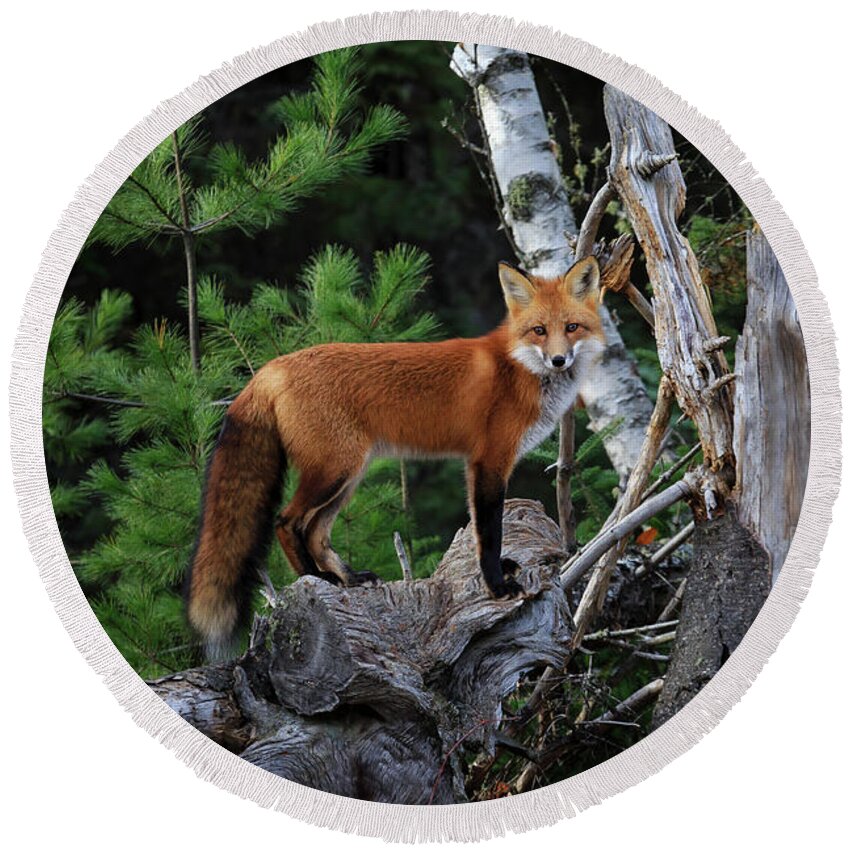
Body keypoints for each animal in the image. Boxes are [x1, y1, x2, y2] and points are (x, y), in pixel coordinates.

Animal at [186, 256, 604, 656]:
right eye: (539, 331)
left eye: (571, 328)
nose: (558, 360)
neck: (517, 368)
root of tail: (270, 368)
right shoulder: (489, 461)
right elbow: (489, 531)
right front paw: (496, 585)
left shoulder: (478, 464)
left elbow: (479, 529)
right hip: (333, 472)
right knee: (286, 522)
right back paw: (315, 579)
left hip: (349, 476)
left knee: (317, 532)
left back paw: (348, 579)